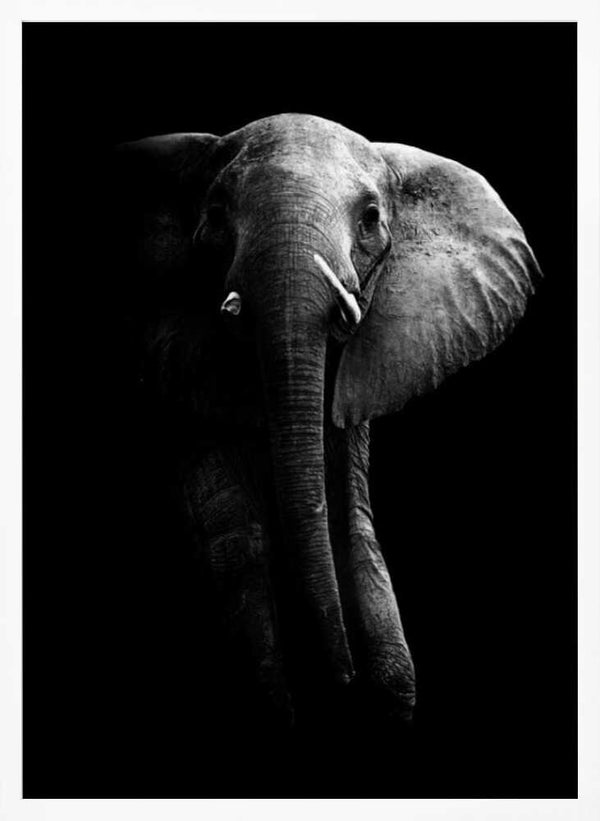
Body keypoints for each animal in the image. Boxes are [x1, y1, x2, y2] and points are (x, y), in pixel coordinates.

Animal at [113, 113, 541, 729]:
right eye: (215, 214)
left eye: (370, 219)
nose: (341, 682)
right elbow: (232, 529)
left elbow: (348, 514)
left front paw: (386, 696)